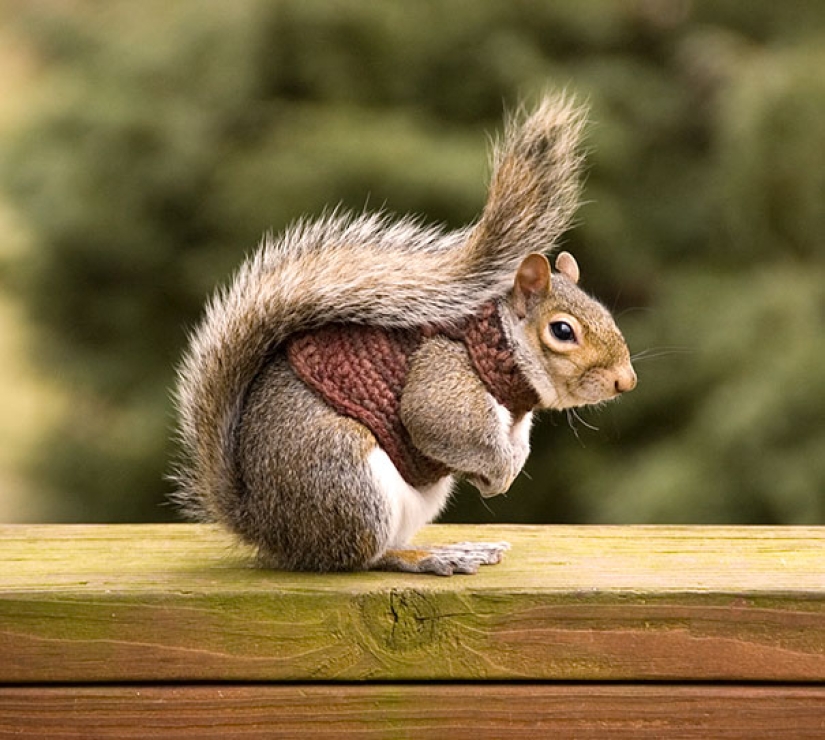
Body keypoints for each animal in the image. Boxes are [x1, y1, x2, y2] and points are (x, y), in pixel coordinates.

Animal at [172, 94, 636, 580]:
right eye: (562, 331)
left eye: (605, 312)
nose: (626, 380)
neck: (499, 341)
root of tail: (265, 526)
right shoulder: (443, 368)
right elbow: (438, 420)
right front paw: (501, 473)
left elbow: (515, 441)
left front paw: (510, 465)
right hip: (348, 480)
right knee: (362, 557)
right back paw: (431, 557)